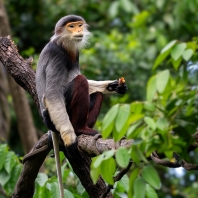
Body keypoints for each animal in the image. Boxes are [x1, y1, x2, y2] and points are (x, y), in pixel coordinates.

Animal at [35, 14, 127, 197]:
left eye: (79, 25)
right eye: (71, 26)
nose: (78, 30)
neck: (64, 44)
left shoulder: (75, 53)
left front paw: (113, 86)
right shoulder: (56, 55)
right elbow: (53, 94)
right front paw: (70, 139)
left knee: (95, 93)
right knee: (80, 81)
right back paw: (79, 130)